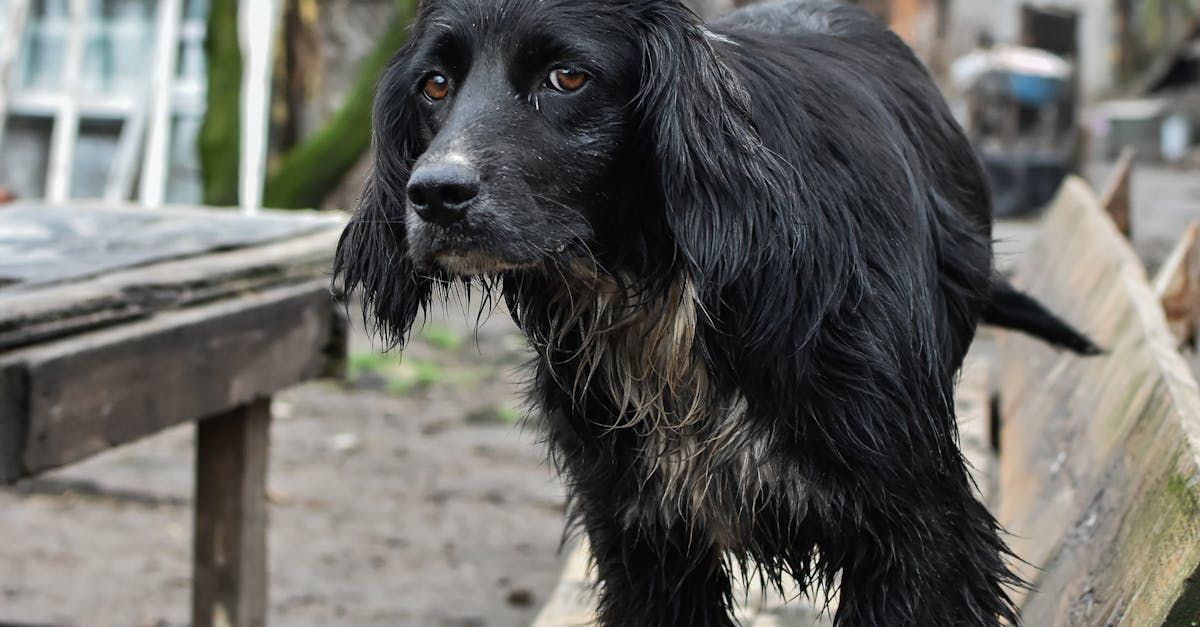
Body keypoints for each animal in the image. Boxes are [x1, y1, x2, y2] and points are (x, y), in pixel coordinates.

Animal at [336, 2, 1099, 619]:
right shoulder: (642, 539)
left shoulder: (919, 535)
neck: (670, 295)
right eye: (436, 85)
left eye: (567, 77)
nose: (434, 195)